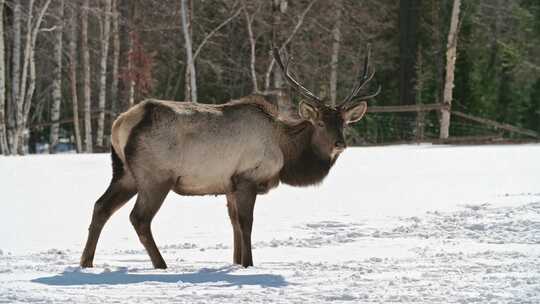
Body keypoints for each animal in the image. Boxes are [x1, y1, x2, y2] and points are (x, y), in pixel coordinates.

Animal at [81, 46, 380, 268]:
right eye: (320, 123)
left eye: (344, 122)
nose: (340, 143)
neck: (285, 151)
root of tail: (120, 124)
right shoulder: (247, 177)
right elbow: (246, 224)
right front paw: (248, 263)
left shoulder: (228, 185)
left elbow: (234, 223)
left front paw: (236, 262)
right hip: (155, 176)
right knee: (139, 218)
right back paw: (161, 264)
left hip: (125, 173)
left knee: (100, 206)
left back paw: (86, 262)